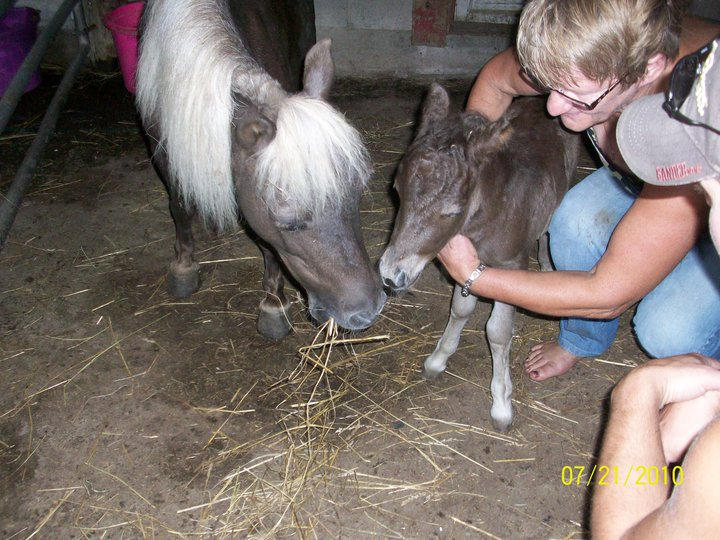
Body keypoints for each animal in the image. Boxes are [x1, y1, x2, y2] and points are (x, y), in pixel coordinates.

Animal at [136, 0, 385, 338]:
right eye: (288, 222)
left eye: (358, 193)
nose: (368, 310)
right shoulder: (162, 149)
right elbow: (180, 206)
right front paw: (184, 267)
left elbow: (269, 248)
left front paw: (273, 306)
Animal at [379, 84, 578, 431]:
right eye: (397, 191)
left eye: (451, 211)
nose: (391, 276)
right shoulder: (470, 264)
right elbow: (460, 309)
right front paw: (437, 360)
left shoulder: (511, 265)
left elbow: (497, 333)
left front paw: (501, 403)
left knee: (548, 226)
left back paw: (548, 262)